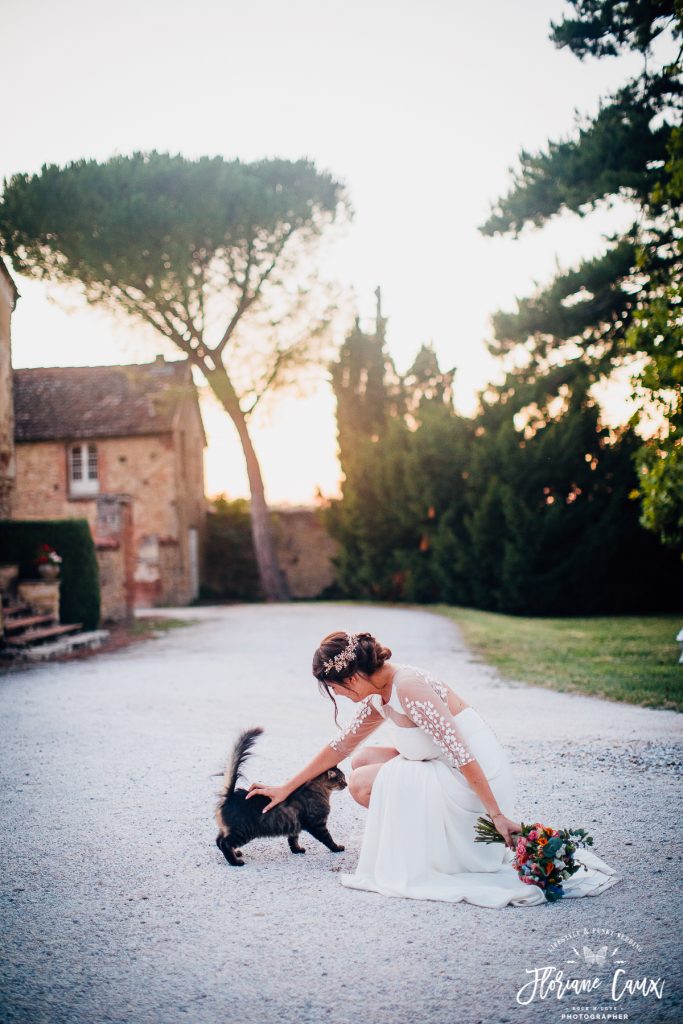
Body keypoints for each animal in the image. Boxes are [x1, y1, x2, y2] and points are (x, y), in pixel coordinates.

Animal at [214, 729, 348, 864]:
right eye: (341, 780)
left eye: (345, 778)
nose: (347, 784)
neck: (321, 791)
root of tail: (231, 796)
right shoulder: (318, 824)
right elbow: (328, 839)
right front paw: (337, 848)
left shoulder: (295, 826)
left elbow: (293, 839)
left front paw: (297, 850)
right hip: (243, 831)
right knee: (224, 843)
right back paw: (235, 862)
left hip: (229, 829)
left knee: (218, 840)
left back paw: (236, 853)